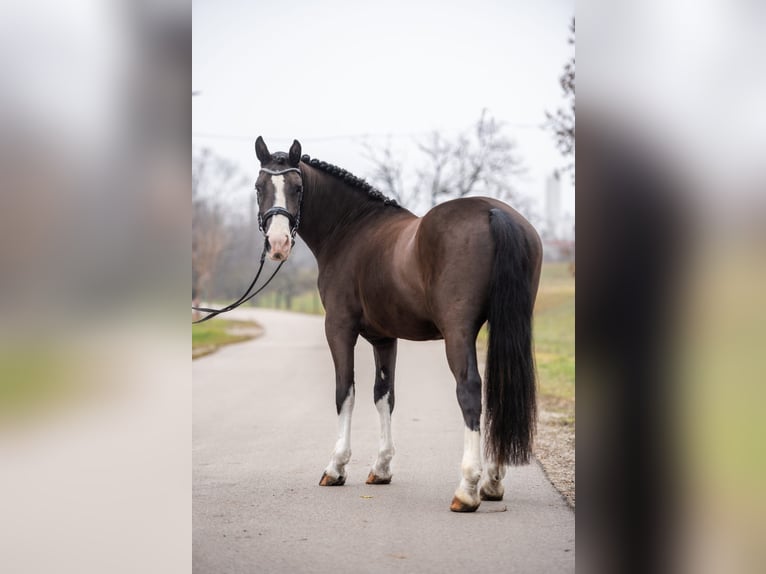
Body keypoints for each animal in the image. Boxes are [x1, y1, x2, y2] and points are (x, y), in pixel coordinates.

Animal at [255, 138, 544, 512]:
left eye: (297, 187)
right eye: (260, 186)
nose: (277, 245)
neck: (351, 230)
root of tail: (494, 212)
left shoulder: (339, 328)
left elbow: (345, 392)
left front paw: (336, 467)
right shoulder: (384, 337)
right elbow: (384, 395)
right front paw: (381, 468)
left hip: (458, 333)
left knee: (469, 391)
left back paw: (467, 489)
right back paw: (492, 482)